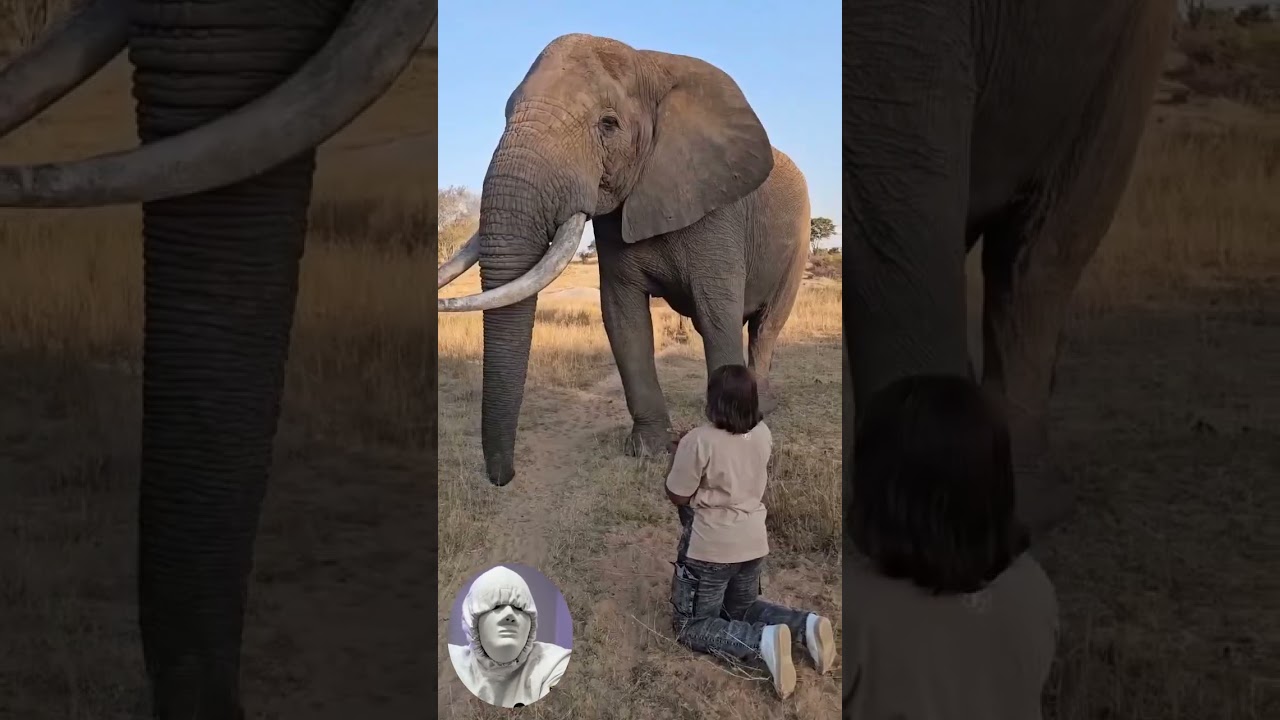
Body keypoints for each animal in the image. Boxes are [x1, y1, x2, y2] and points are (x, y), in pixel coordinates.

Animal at [437, 34, 811, 488]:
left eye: (608, 123)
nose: (504, 477)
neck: (650, 64)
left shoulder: (719, 211)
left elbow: (716, 312)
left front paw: (730, 437)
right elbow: (623, 317)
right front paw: (648, 450)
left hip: (797, 242)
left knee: (765, 326)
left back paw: (764, 407)